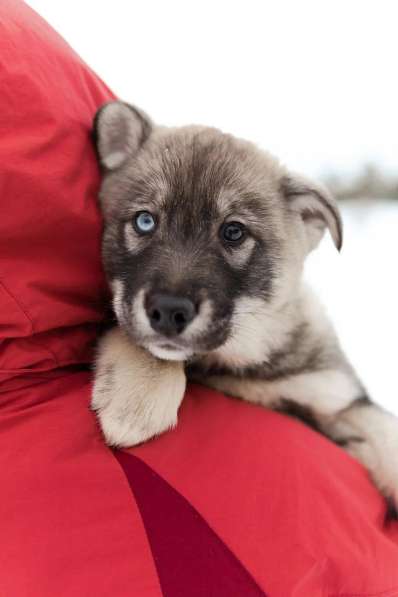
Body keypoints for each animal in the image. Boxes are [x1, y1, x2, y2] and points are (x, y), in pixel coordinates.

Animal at [91, 100, 398, 506]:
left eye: (233, 232)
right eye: (144, 221)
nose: (168, 312)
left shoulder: (332, 397)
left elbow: (385, 433)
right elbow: (153, 349)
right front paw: (137, 399)